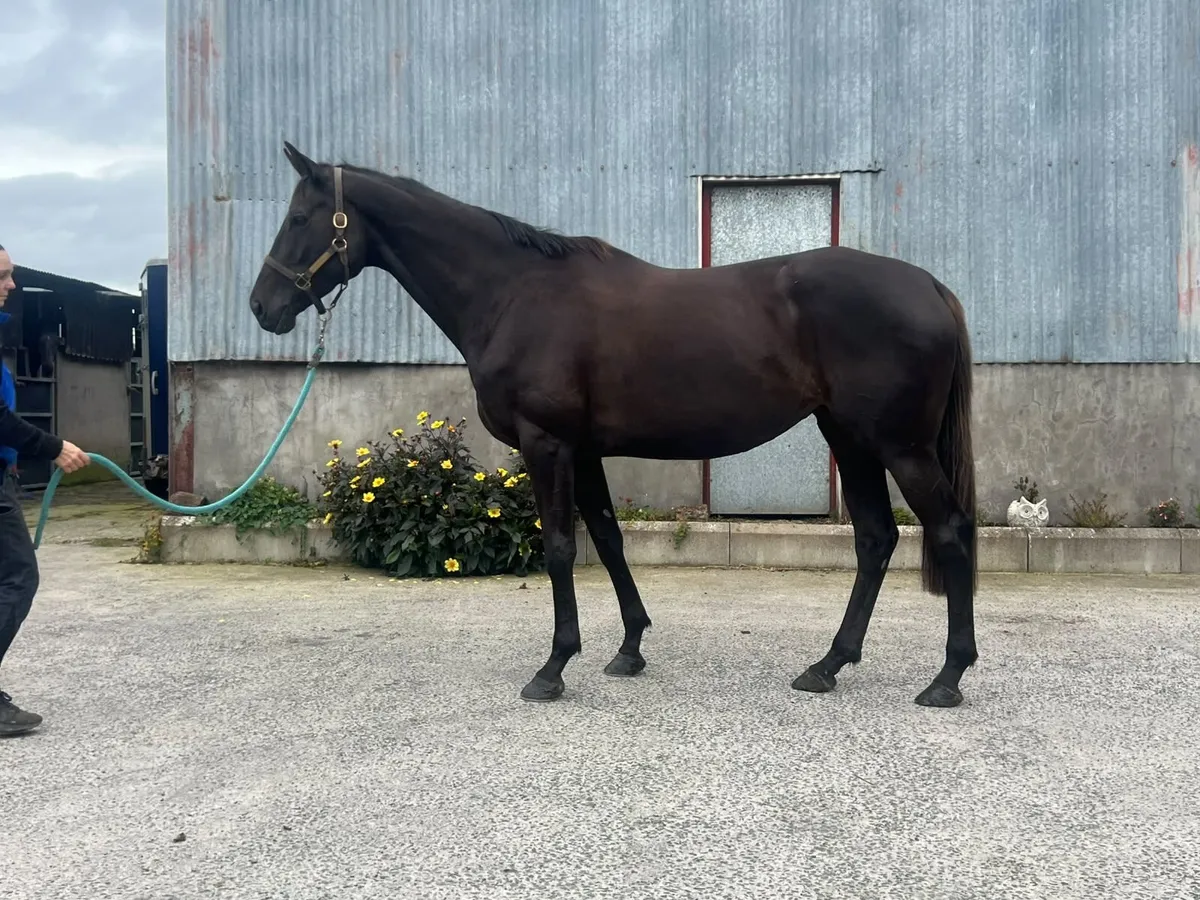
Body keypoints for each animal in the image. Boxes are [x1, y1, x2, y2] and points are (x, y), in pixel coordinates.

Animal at [249, 141, 979, 709]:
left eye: (299, 217)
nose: (262, 306)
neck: (514, 293)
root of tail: (931, 286)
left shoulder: (547, 444)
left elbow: (559, 548)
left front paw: (551, 669)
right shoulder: (584, 451)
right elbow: (607, 540)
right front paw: (629, 649)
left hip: (899, 446)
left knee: (947, 530)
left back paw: (947, 677)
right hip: (849, 438)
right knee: (876, 539)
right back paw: (827, 666)